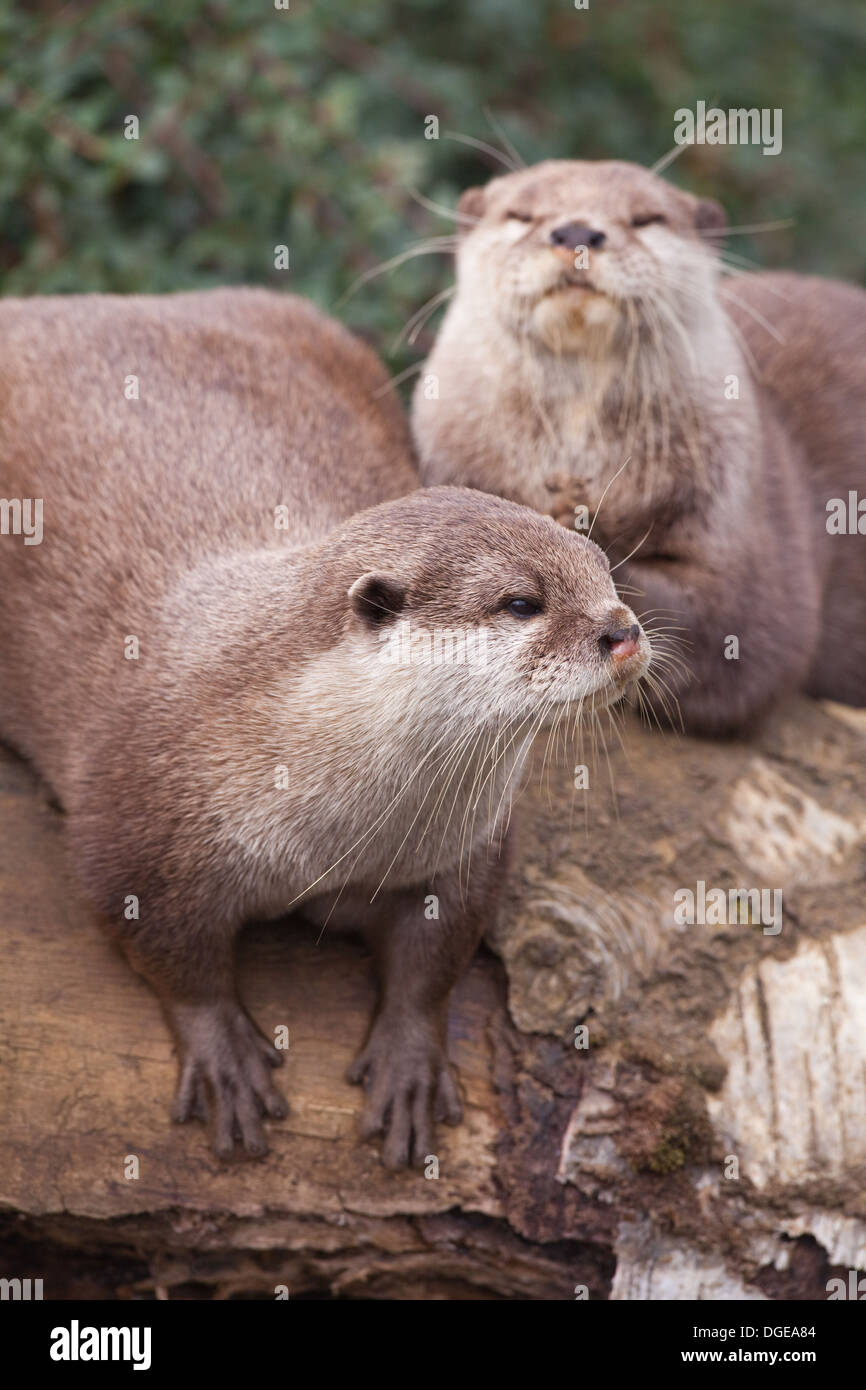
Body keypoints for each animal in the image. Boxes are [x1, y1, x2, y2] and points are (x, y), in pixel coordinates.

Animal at [0, 287, 650, 1167]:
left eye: (604, 572)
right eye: (521, 602)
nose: (623, 629)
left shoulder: (463, 844)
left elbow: (440, 949)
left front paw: (409, 1062)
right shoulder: (136, 818)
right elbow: (164, 947)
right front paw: (223, 1054)